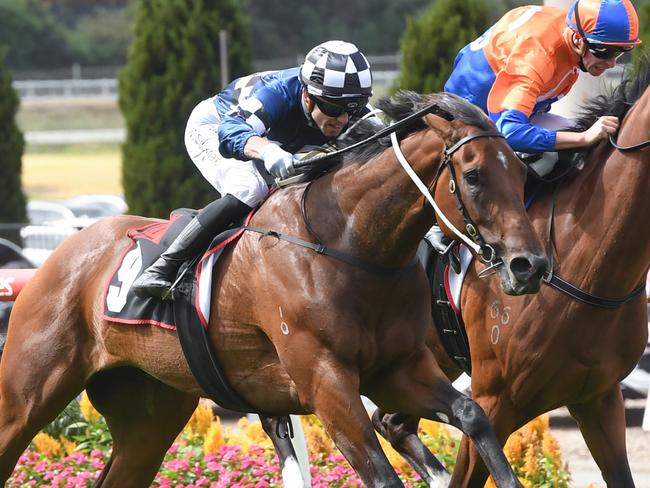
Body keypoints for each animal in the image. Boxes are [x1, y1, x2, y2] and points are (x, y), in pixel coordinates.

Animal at [0, 93, 548, 486]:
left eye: (522, 173)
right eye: (474, 176)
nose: (530, 266)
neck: (349, 243)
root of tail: (59, 255)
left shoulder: (398, 369)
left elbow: (473, 416)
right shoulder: (325, 381)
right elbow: (382, 475)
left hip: (149, 414)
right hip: (26, 394)